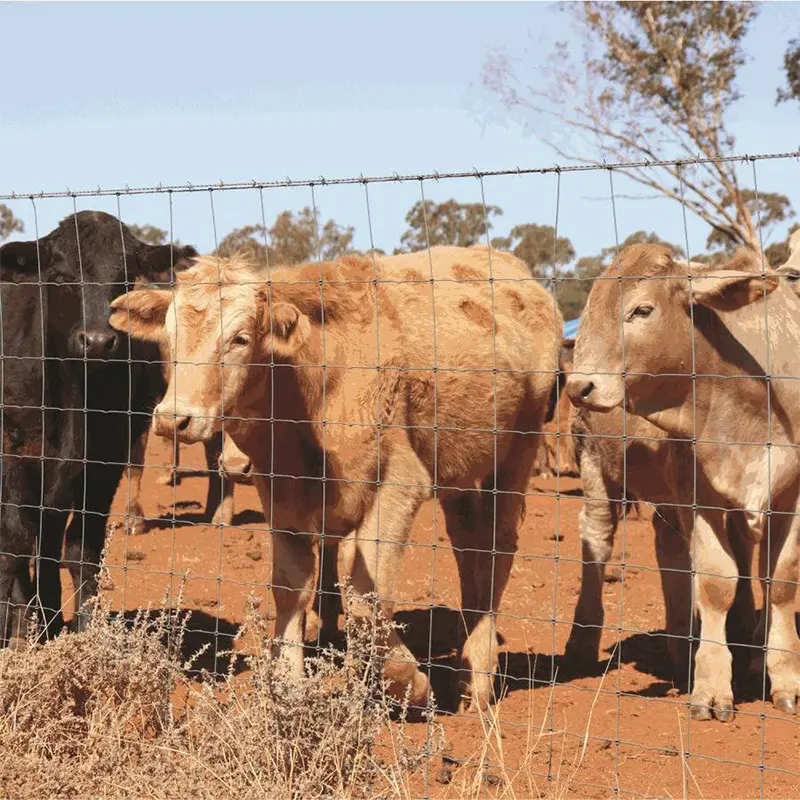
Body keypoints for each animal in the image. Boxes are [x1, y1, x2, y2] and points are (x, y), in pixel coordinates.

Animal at [0, 211, 197, 644]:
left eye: (125, 278)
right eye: (59, 276)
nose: (98, 341)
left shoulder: (104, 462)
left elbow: (81, 547)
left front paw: (84, 629)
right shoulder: (11, 454)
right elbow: (13, 540)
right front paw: (14, 634)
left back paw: (47, 615)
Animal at [106, 245, 564, 712]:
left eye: (239, 338)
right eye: (169, 336)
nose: (173, 419)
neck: (317, 383)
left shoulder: (399, 486)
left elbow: (365, 599)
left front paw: (408, 681)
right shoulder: (283, 495)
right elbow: (292, 588)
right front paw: (288, 686)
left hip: (517, 454)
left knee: (496, 548)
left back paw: (480, 677)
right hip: (458, 469)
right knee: (467, 543)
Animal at [564, 244, 800, 720]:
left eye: (642, 310)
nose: (580, 385)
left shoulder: (790, 492)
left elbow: (781, 580)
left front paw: (784, 677)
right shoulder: (699, 496)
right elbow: (716, 581)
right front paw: (711, 687)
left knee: (670, 547)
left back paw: (689, 646)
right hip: (596, 467)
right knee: (596, 539)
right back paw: (584, 639)